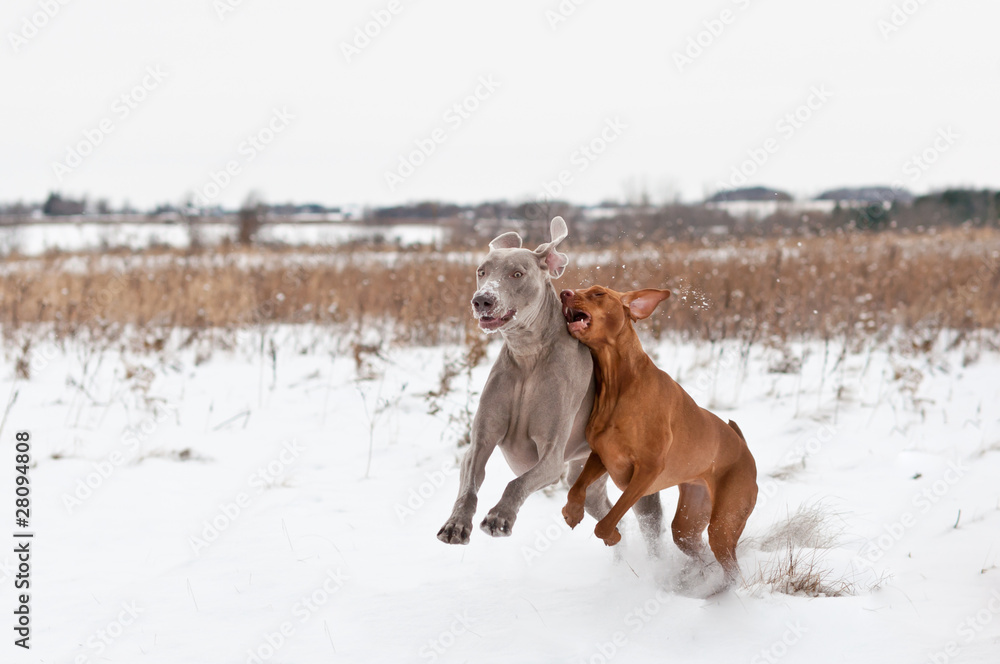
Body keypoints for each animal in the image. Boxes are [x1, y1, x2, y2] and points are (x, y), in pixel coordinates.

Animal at [434, 217, 660, 544]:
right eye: (481, 271)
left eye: (517, 273)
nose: (482, 300)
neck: (528, 356)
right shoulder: (480, 443)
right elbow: (469, 486)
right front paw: (456, 524)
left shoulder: (552, 458)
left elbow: (517, 483)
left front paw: (500, 517)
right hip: (584, 475)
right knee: (604, 511)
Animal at [564, 286, 756, 580]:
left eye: (597, 293)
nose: (564, 292)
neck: (618, 383)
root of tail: (745, 449)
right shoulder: (601, 455)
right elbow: (576, 489)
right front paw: (572, 512)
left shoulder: (647, 471)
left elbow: (606, 522)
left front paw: (612, 536)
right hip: (688, 522)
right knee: (699, 552)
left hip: (724, 522)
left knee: (731, 568)